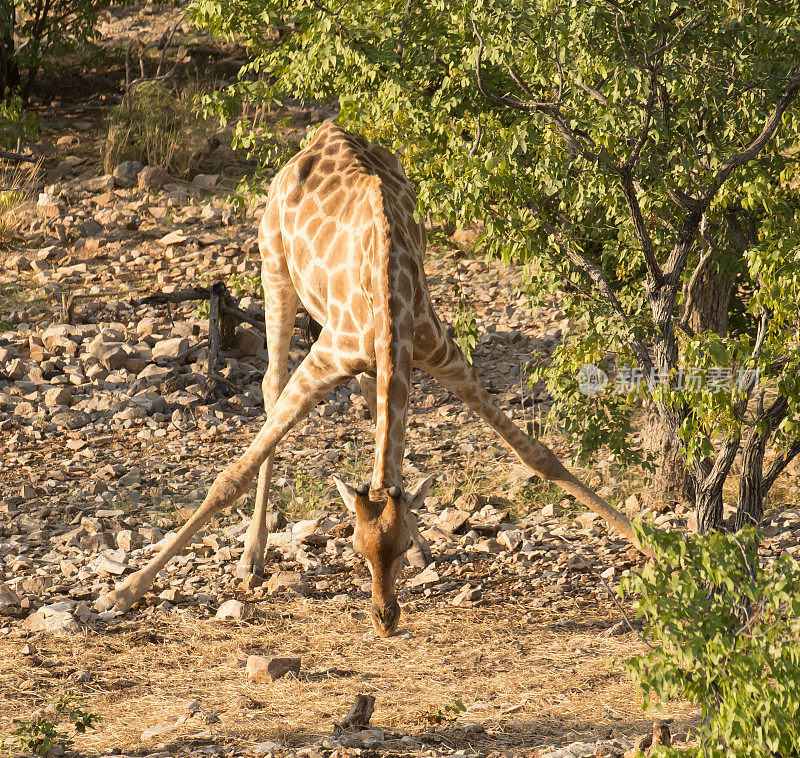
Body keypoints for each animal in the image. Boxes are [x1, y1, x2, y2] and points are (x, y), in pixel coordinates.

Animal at [100, 121, 648, 640]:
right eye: (356, 549)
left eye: (398, 548)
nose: (384, 619)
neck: (390, 297)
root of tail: (321, 135)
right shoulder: (325, 358)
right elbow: (230, 475)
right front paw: (125, 591)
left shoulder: (440, 351)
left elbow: (536, 455)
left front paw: (647, 542)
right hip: (273, 267)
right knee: (272, 384)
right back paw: (252, 555)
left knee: (369, 402)